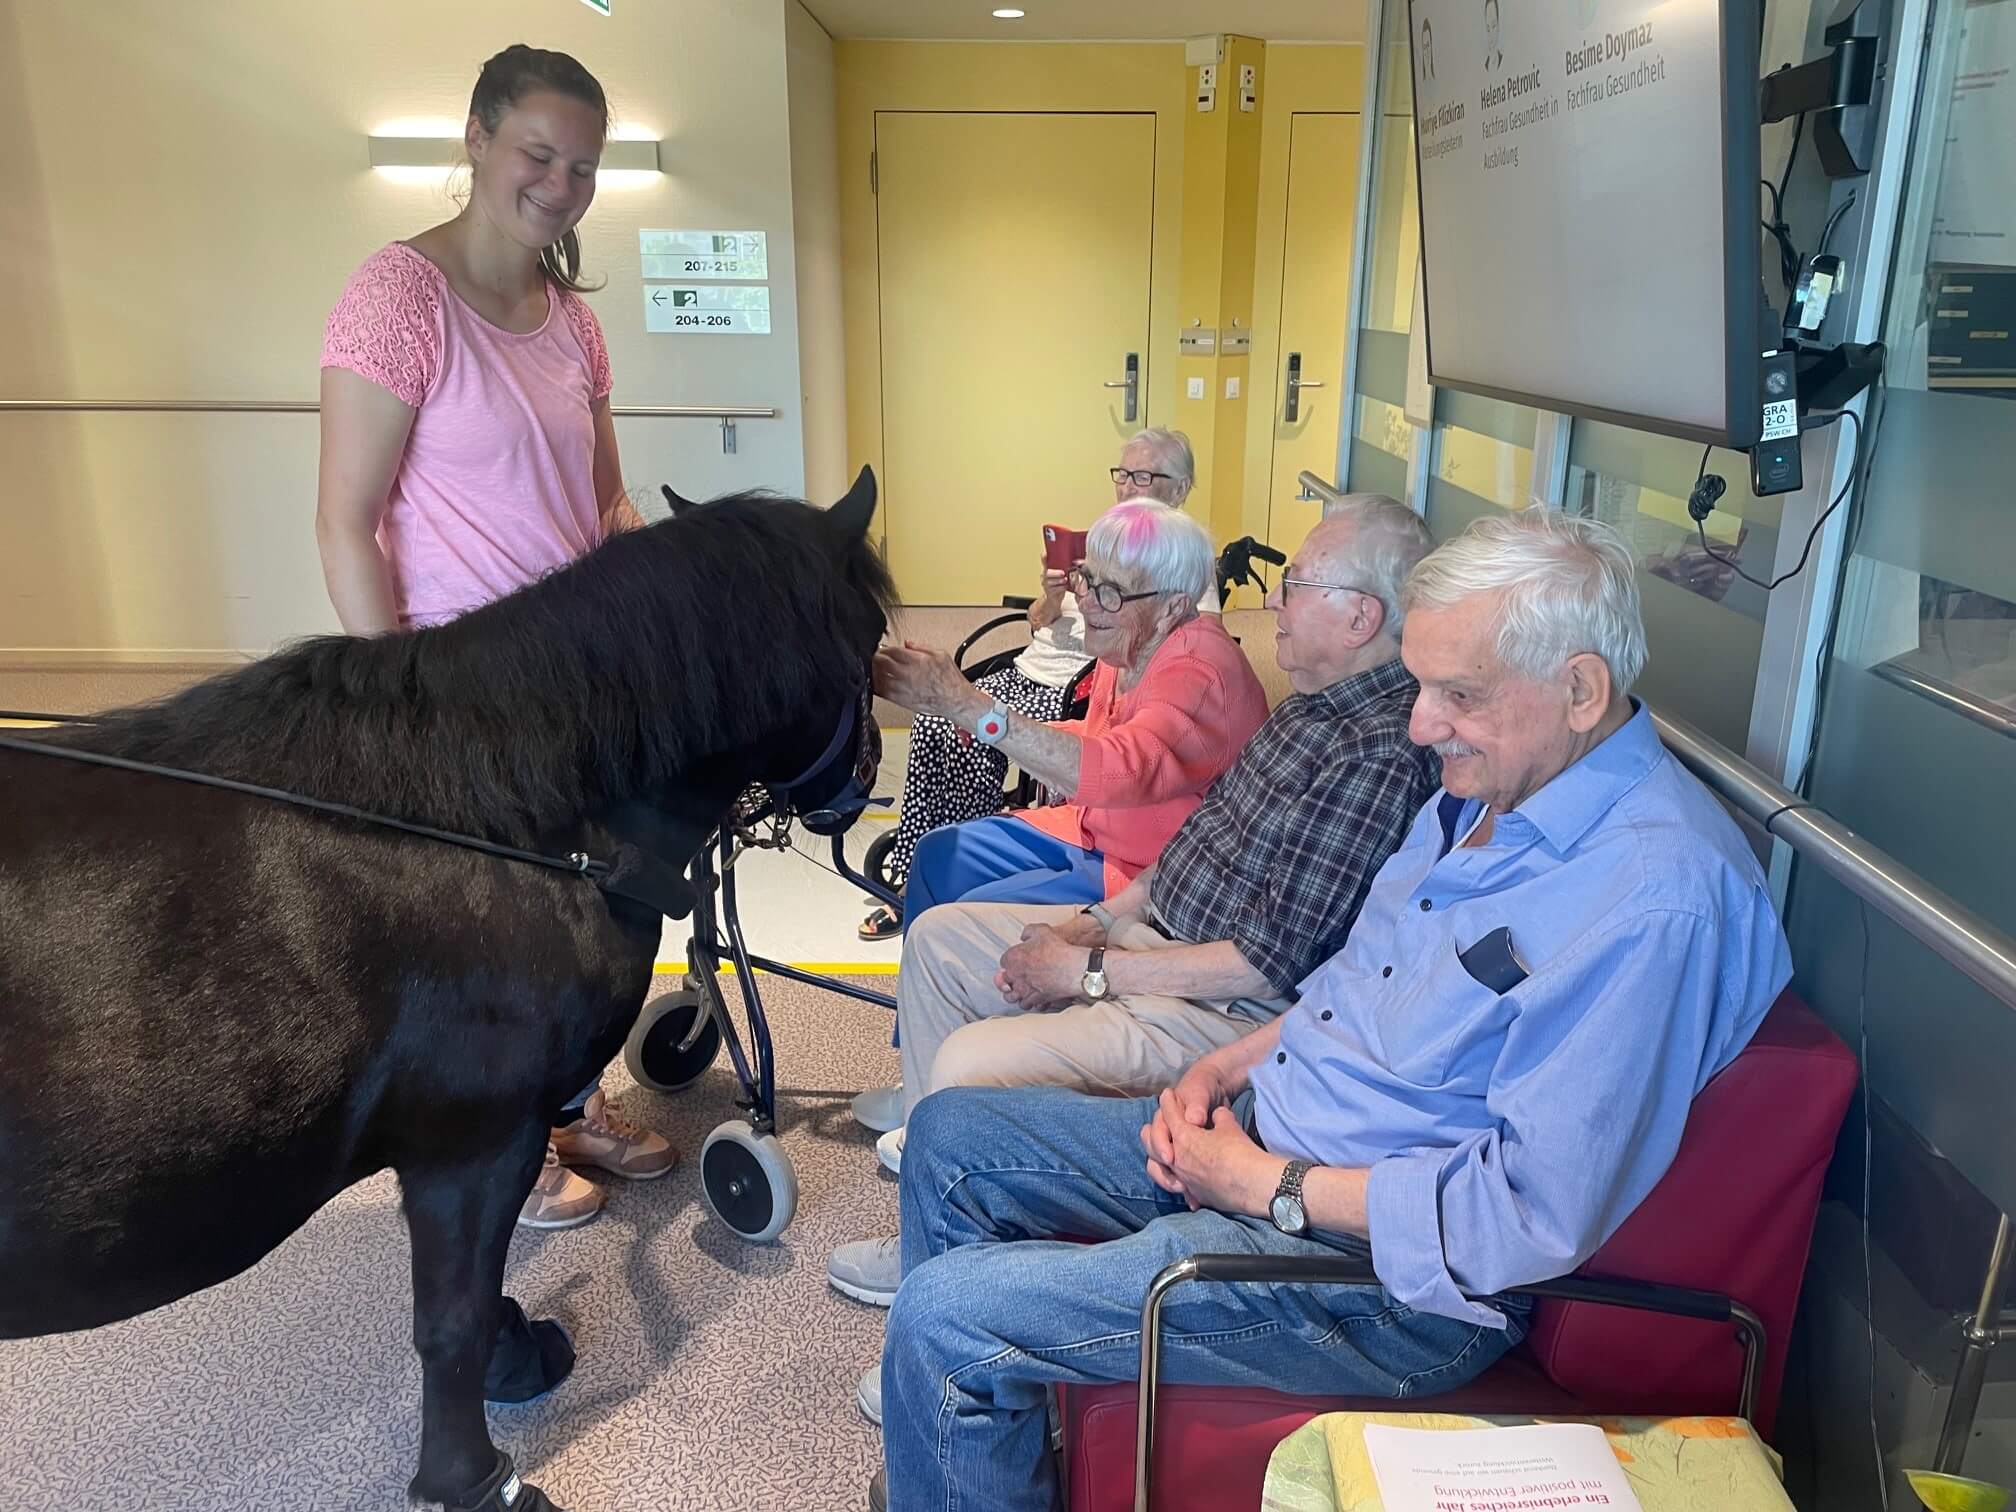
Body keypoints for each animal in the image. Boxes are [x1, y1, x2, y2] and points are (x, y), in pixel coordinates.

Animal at [0, 470, 894, 1512]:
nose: (863, 780)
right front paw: (476, 1474)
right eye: (874, 635)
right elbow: (450, 1321)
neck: (493, 818)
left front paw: (514, 1349)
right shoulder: (475, 1141)